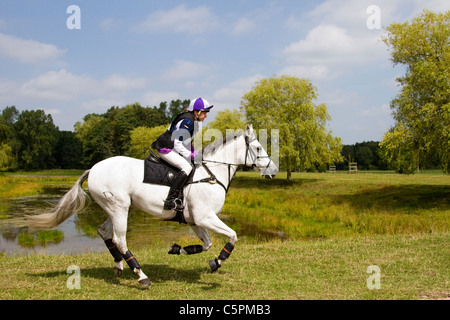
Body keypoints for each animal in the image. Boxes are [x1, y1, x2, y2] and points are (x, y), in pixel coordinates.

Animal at [28, 124, 278, 284]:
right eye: (258, 148)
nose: (274, 170)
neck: (212, 173)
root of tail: (94, 168)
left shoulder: (196, 221)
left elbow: (206, 245)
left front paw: (179, 250)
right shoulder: (205, 217)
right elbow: (233, 236)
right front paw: (218, 262)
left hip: (117, 207)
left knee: (104, 231)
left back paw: (119, 266)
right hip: (120, 208)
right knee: (120, 239)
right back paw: (141, 275)